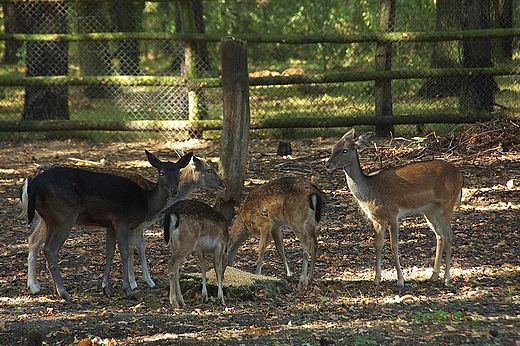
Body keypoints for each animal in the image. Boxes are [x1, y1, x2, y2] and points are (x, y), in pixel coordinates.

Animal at [22, 155, 225, 296]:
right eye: (209, 170)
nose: (223, 184)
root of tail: (29, 179)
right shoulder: (133, 224)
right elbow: (136, 249)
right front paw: (138, 283)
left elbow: (131, 249)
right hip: (57, 217)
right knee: (37, 242)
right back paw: (37, 287)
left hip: (45, 218)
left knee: (34, 241)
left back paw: (39, 286)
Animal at [324, 128, 464, 288]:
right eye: (333, 148)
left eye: (345, 150)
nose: (328, 164)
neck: (369, 192)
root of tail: (461, 177)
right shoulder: (376, 219)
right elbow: (378, 245)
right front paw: (376, 279)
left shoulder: (392, 214)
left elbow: (394, 245)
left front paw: (400, 280)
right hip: (430, 210)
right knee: (440, 235)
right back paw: (433, 276)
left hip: (447, 204)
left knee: (449, 235)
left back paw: (446, 279)